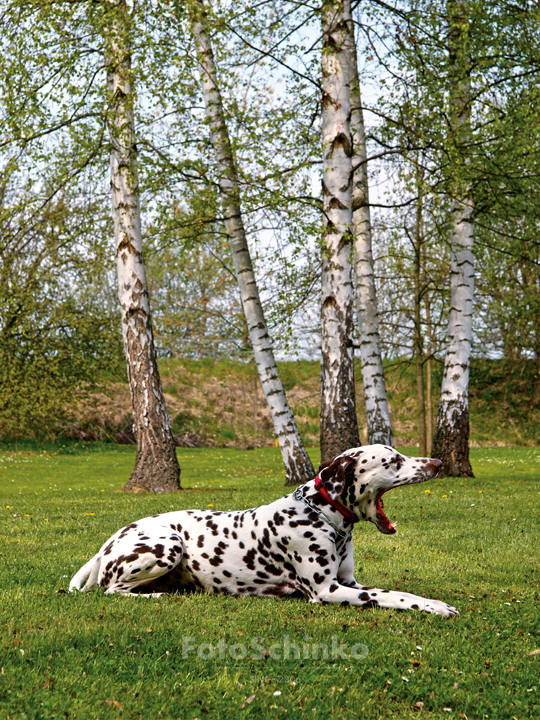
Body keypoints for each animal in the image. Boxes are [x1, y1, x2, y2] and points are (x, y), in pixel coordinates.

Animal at [69, 444, 460, 620]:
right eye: (393, 460)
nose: (438, 463)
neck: (320, 513)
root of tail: (108, 544)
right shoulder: (328, 590)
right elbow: (391, 596)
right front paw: (434, 606)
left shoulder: (348, 582)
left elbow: (393, 591)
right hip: (168, 545)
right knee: (111, 590)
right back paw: (155, 596)